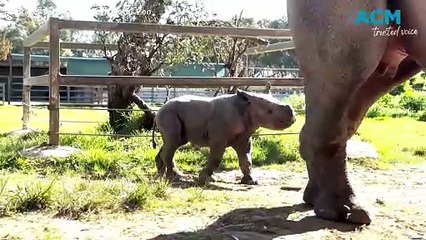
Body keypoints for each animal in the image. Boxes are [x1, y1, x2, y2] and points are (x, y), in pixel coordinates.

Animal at [153, 88, 296, 184]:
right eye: (269, 111)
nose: (293, 115)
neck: (246, 107)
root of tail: (159, 109)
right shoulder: (218, 138)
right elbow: (216, 158)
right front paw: (206, 179)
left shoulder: (244, 138)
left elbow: (246, 159)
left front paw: (250, 181)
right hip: (168, 114)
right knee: (173, 142)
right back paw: (176, 177)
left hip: (171, 114)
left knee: (174, 142)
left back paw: (161, 176)